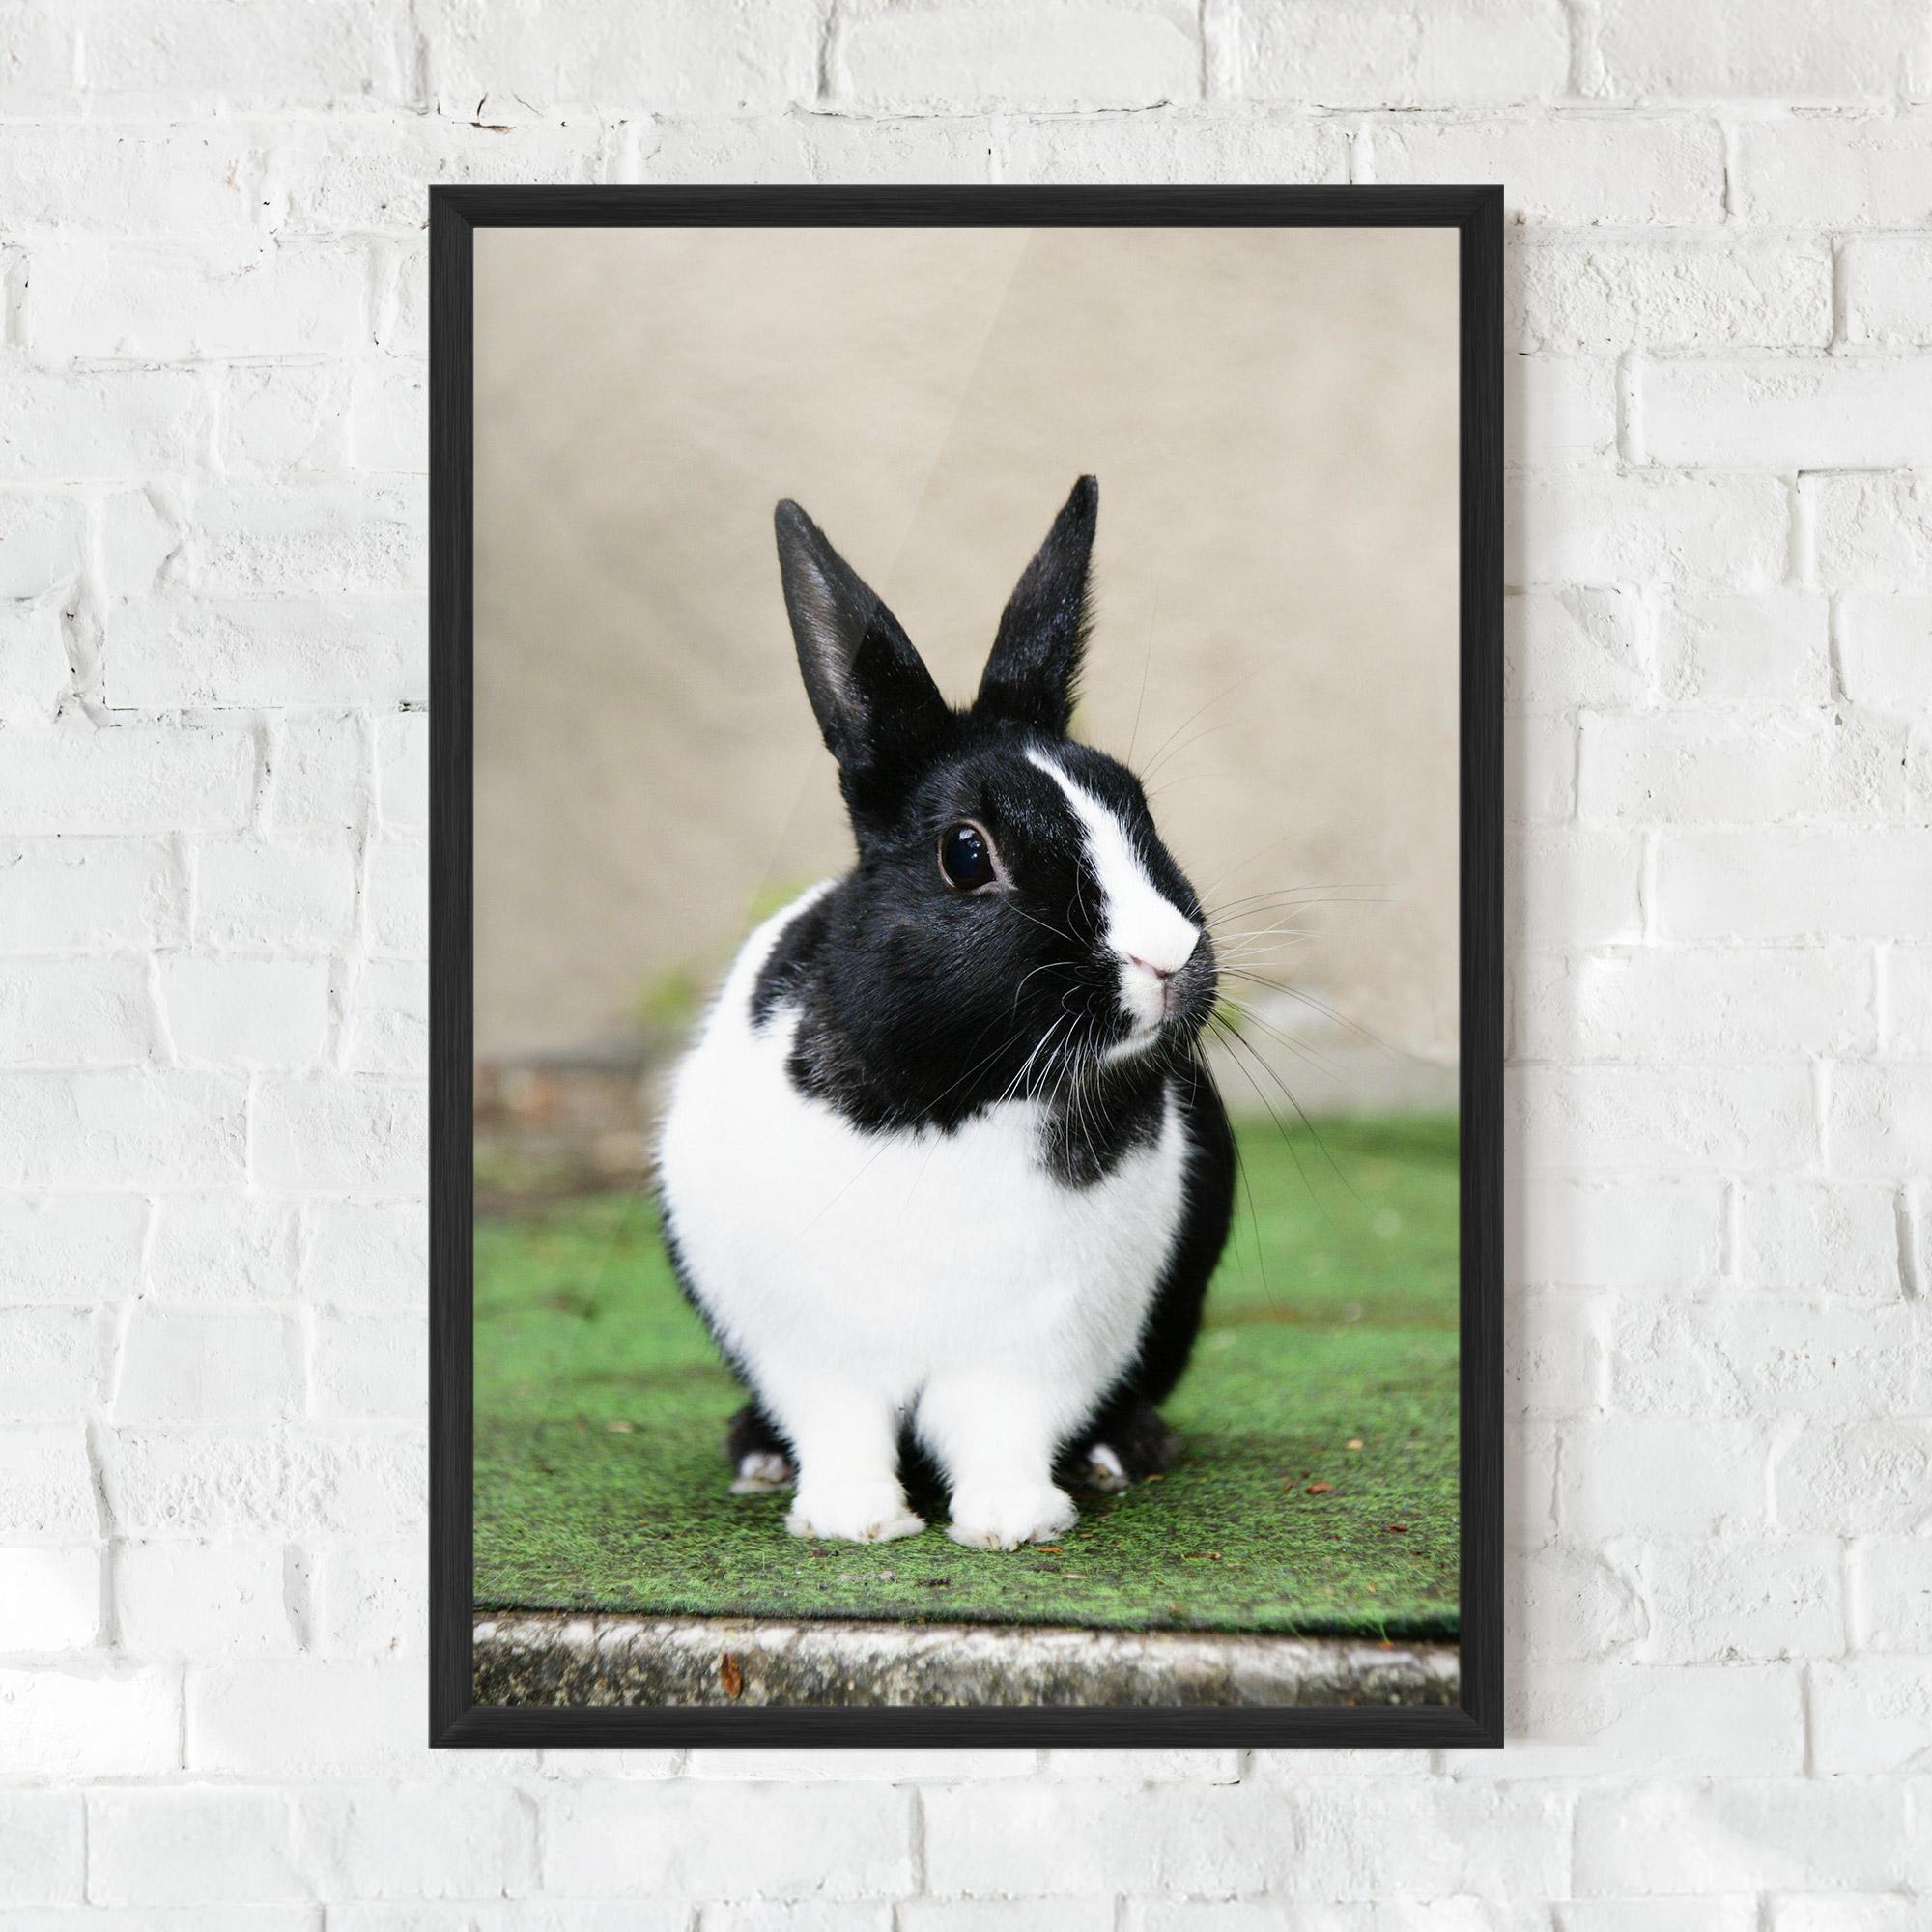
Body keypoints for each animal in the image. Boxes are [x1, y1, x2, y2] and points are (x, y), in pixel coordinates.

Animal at [657, 476, 1235, 1549]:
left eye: (1136, 804)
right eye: (967, 854)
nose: (1169, 957)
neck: (955, 1098)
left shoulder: (1034, 1347)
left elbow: (1001, 1428)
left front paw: (1012, 1522)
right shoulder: (814, 1348)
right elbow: (840, 1427)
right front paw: (852, 1522)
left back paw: (1119, 1451)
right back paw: (757, 1456)